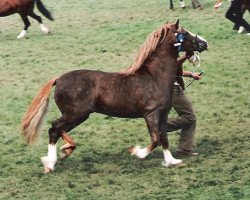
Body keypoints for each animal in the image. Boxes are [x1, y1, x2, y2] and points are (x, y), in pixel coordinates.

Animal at [21, 20, 207, 173]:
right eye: (184, 32)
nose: (204, 43)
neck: (154, 77)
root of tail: (58, 79)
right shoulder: (150, 114)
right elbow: (155, 140)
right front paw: (137, 153)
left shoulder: (163, 114)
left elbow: (164, 138)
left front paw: (171, 161)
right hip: (76, 114)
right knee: (54, 129)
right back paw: (51, 162)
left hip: (76, 116)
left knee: (58, 130)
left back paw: (65, 151)